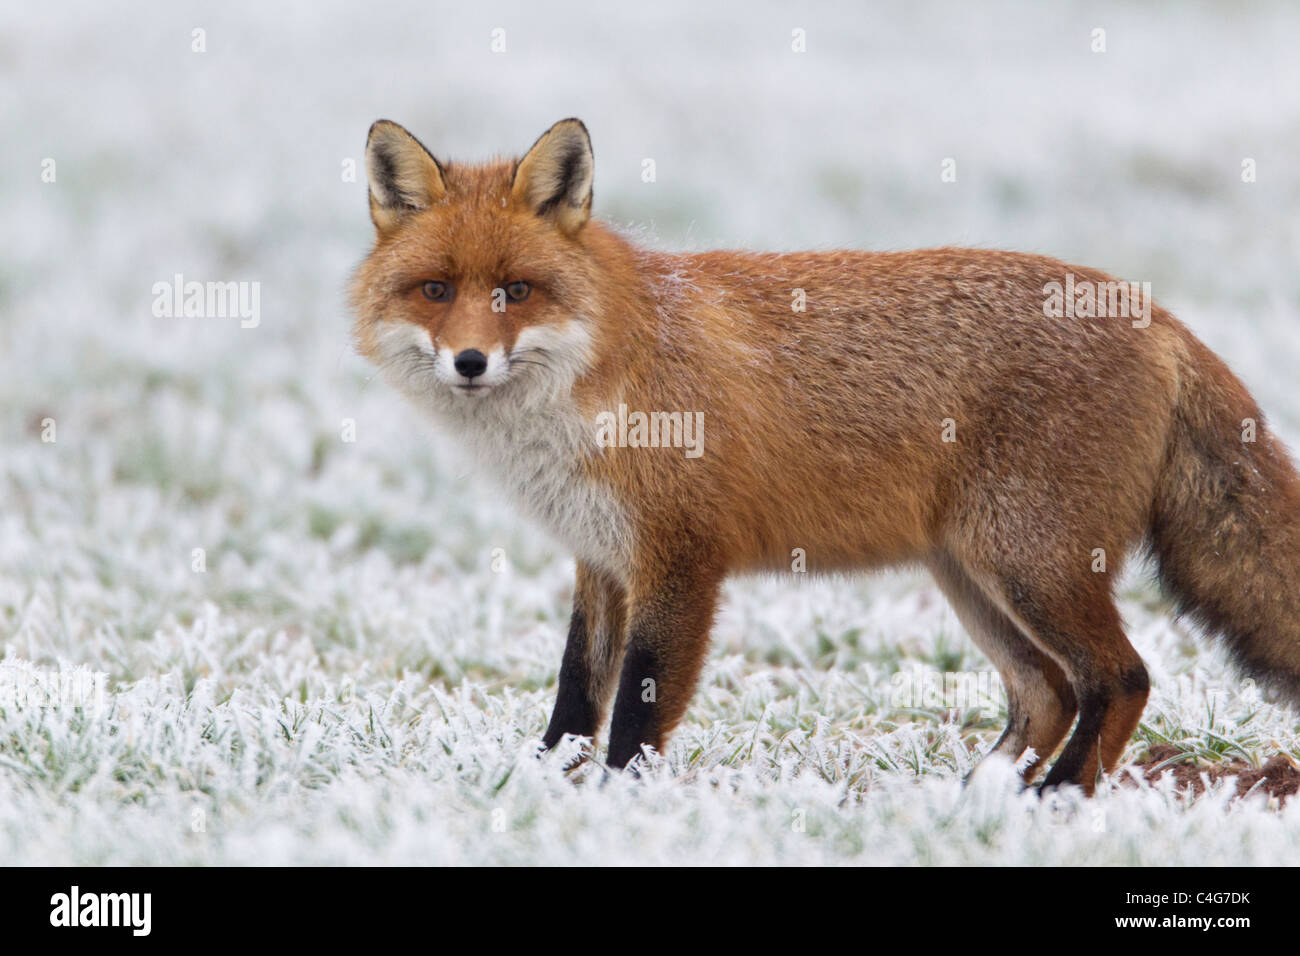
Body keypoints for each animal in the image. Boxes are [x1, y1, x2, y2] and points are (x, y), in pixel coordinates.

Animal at [351, 119, 1300, 790]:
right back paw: (974, 802)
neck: (604, 377)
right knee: (1050, 692)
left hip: (1029, 566)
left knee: (1122, 679)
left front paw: (621, 804)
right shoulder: (603, 558)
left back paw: (1053, 801)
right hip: (973, 576)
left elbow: (638, 715)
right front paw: (539, 788)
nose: (470, 363)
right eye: (435, 290)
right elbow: (576, 696)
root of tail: (1157, 312)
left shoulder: (680, 560)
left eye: (516, 291)